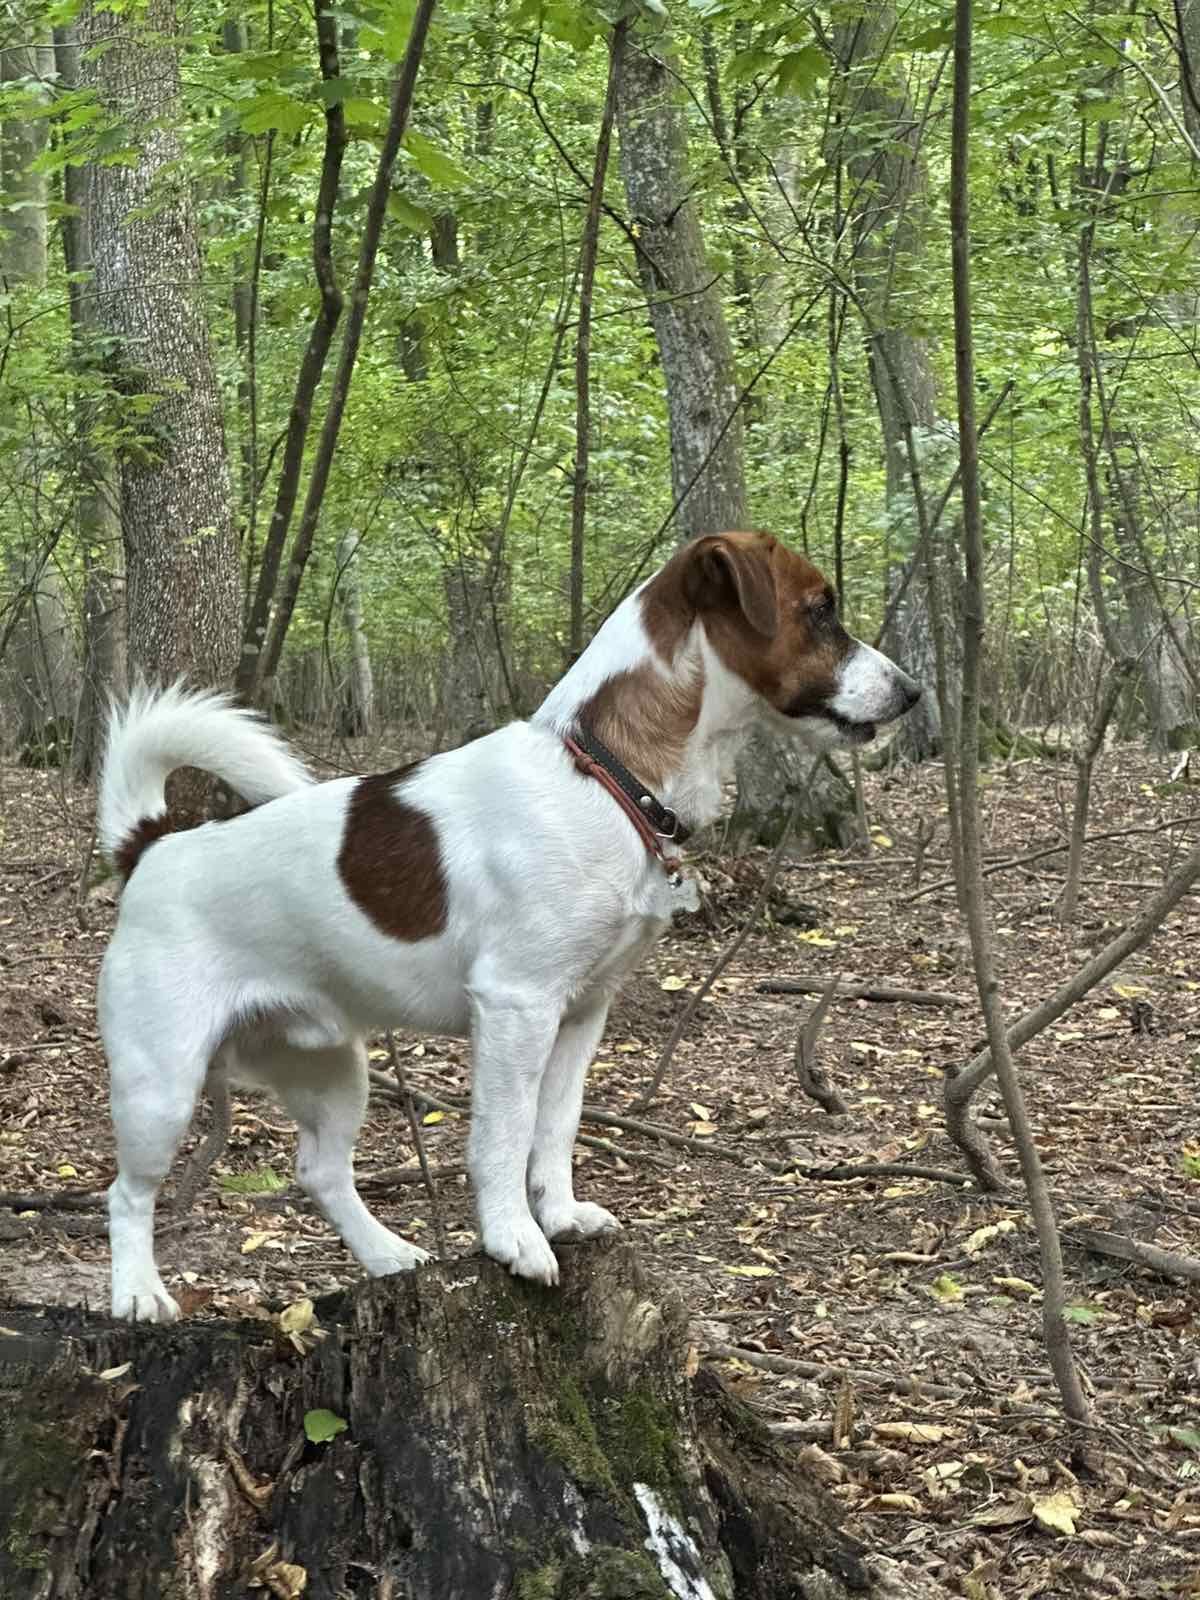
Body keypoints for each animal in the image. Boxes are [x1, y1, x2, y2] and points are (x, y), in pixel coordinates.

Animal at [98, 531, 921, 1318]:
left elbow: (554, 1128)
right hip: (160, 1085)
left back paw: (386, 1256)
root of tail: (153, 848)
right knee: (127, 1195)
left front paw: (559, 1215)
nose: (913, 692)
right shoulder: (516, 1005)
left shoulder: (582, 1013)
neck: (607, 777)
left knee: (321, 1173)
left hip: (330, 1067)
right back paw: (138, 1293)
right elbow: (504, 1134)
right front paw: (513, 1239)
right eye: (820, 609)